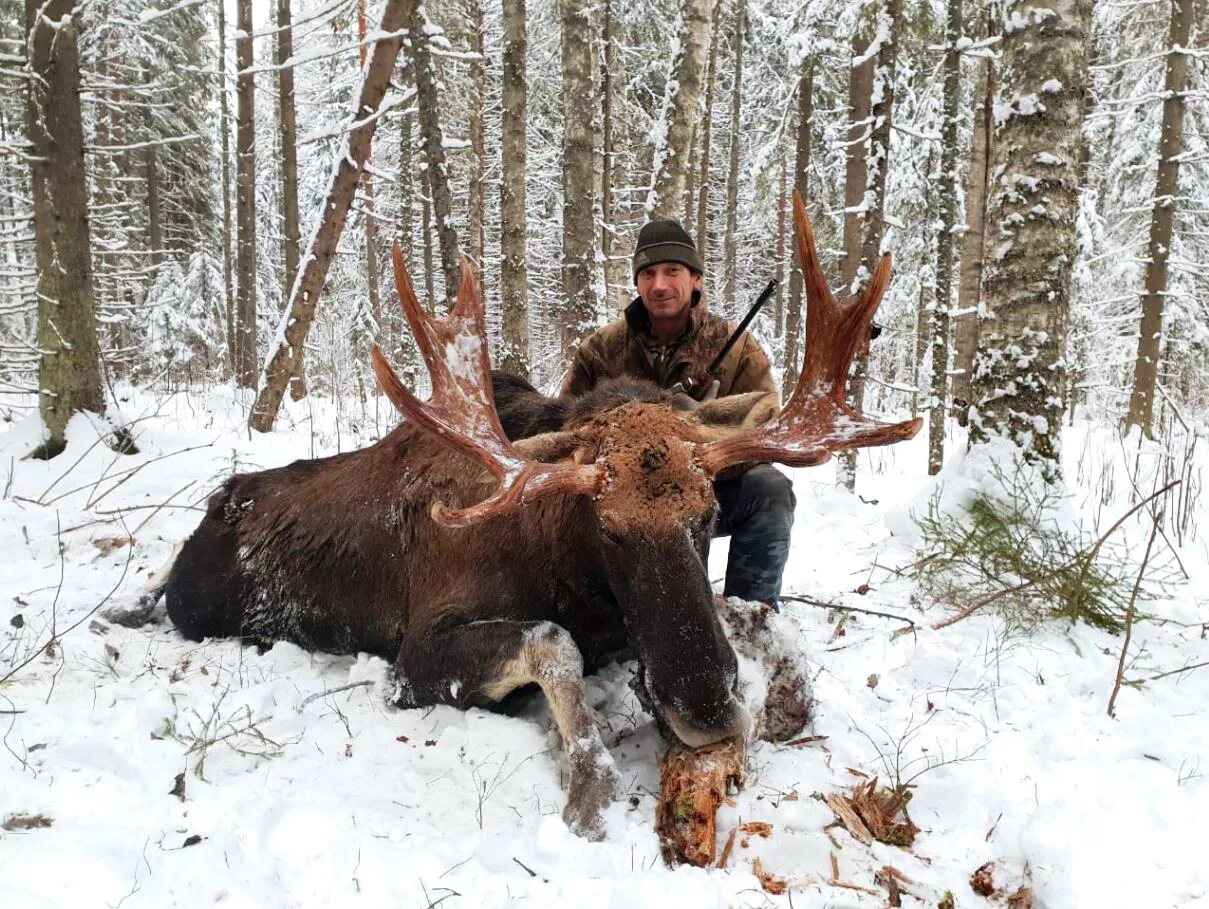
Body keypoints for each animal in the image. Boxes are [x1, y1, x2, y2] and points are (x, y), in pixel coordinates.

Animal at [158, 192, 914, 836]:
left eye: (704, 515)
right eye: (605, 527)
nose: (706, 705)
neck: (563, 563)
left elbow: (758, 615)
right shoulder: (413, 657)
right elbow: (554, 641)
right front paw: (590, 786)